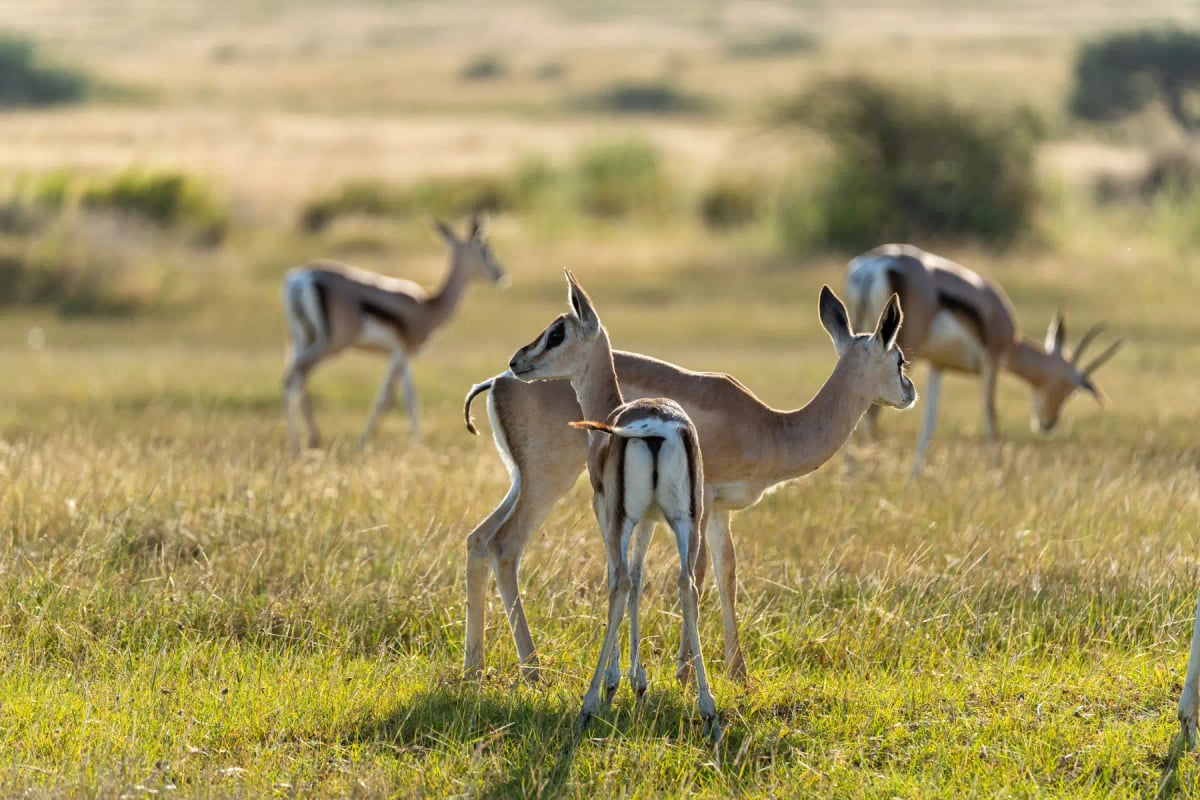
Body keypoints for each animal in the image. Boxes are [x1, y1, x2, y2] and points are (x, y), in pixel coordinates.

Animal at [282, 213, 505, 451]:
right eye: (485, 250)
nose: (500, 274)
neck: (428, 306)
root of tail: (302, 277)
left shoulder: (402, 355)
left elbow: (410, 398)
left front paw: (416, 442)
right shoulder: (403, 351)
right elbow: (387, 398)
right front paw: (363, 443)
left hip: (302, 339)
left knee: (299, 379)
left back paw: (310, 440)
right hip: (331, 344)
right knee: (293, 376)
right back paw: (298, 444)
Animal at [462, 283, 916, 685]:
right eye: (899, 358)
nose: (909, 392)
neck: (771, 427)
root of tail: (498, 381)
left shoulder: (720, 511)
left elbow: (726, 573)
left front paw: (738, 673)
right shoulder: (704, 501)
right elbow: (696, 573)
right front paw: (683, 674)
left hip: (523, 482)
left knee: (478, 540)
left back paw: (474, 670)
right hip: (548, 481)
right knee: (506, 546)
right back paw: (533, 670)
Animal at [507, 271, 718, 737]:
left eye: (557, 331)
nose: (516, 361)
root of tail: (658, 426)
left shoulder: (605, 509)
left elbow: (618, 580)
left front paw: (615, 683)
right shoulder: (649, 521)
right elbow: (639, 580)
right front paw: (640, 683)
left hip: (623, 518)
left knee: (619, 582)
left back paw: (588, 703)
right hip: (686, 521)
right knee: (686, 584)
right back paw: (709, 709)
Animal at [846, 243, 1122, 474]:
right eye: (1070, 390)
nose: (1048, 424)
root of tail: (874, 265)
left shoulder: (937, 366)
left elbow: (929, 423)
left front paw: (915, 476)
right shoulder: (992, 362)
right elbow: (991, 417)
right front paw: (1000, 477)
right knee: (870, 411)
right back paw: (871, 473)